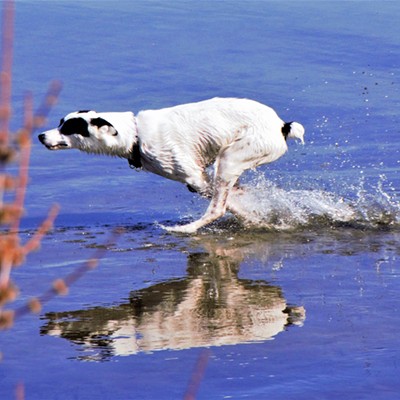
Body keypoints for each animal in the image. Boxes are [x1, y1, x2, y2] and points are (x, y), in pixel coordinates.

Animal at [39, 98, 304, 233]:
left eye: (69, 128)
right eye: (60, 122)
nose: (41, 136)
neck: (135, 135)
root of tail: (282, 125)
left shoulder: (196, 179)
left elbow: (230, 206)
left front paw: (257, 219)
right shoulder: (197, 182)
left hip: (229, 161)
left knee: (216, 210)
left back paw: (185, 229)